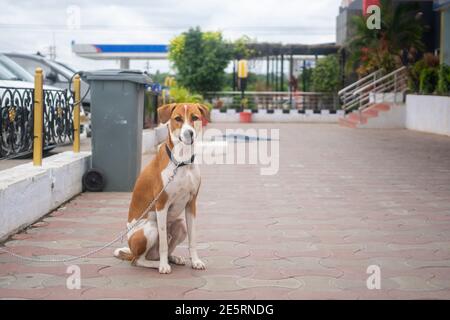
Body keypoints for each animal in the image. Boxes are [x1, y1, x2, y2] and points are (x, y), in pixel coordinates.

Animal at [114, 104, 209, 274]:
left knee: (160, 252)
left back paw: (173, 258)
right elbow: (164, 243)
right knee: (138, 260)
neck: (181, 161)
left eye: (195, 117)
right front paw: (164, 266)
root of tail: (131, 250)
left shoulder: (191, 204)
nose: (189, 133)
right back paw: (158, 264)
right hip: (150, 229)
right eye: (178, 119)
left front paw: (196, 261)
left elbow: (193, 239)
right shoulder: (161, 205)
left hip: (181, 226)